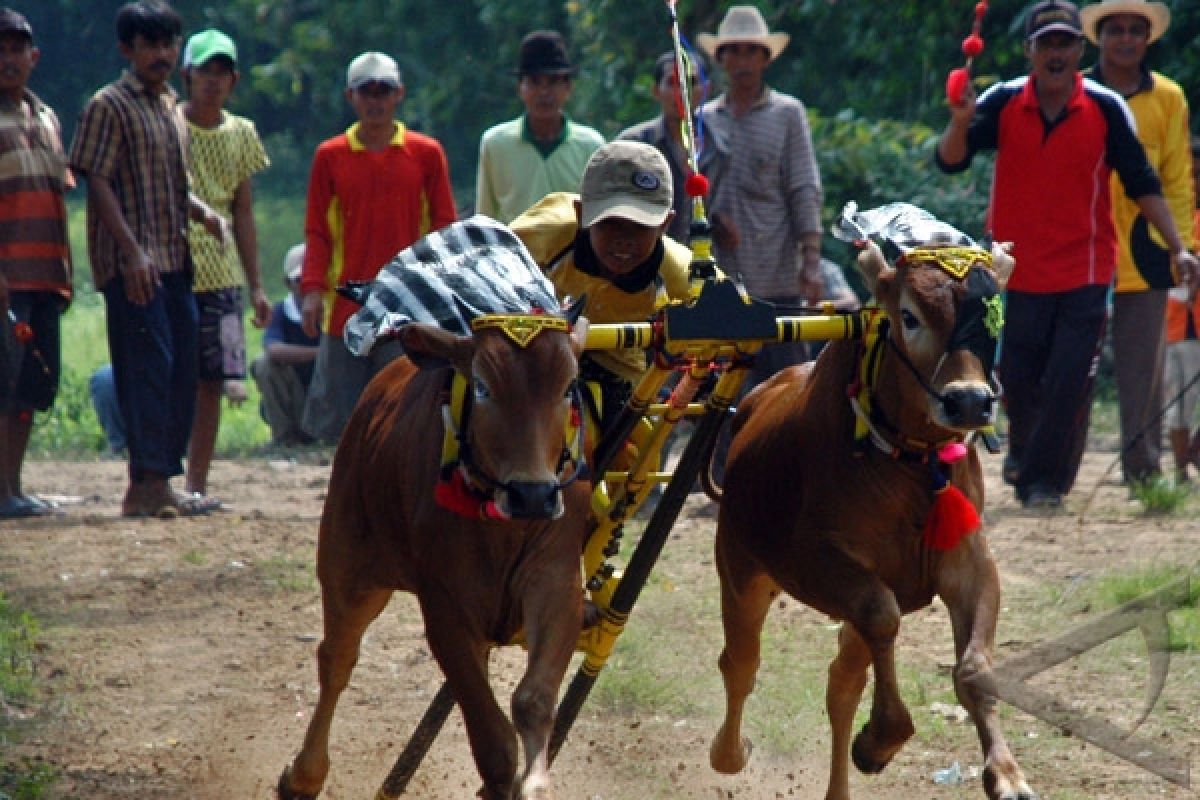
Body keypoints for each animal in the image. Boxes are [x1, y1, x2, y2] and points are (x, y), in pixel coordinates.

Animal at [282, 316, 600, 800]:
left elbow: (533, 700)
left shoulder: (555, 582)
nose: (532, 494)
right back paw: (303, 776)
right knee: (337, 659)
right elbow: (493, 741)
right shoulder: (445, 606)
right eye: (483, 386)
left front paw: (534, 782)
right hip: (348, 566)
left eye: (568, 387)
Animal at [705, 244, 1036, 800]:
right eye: (909, 316)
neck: (909, 466)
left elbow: (972, 670)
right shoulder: (819, 563)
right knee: (741, 663)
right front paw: (882, 739)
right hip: (742, 573)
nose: (969, 400)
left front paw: (1006, 773)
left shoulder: (970, 565)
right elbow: (882, 615)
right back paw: (729, 753)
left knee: (842, 683)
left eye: (993, 316)